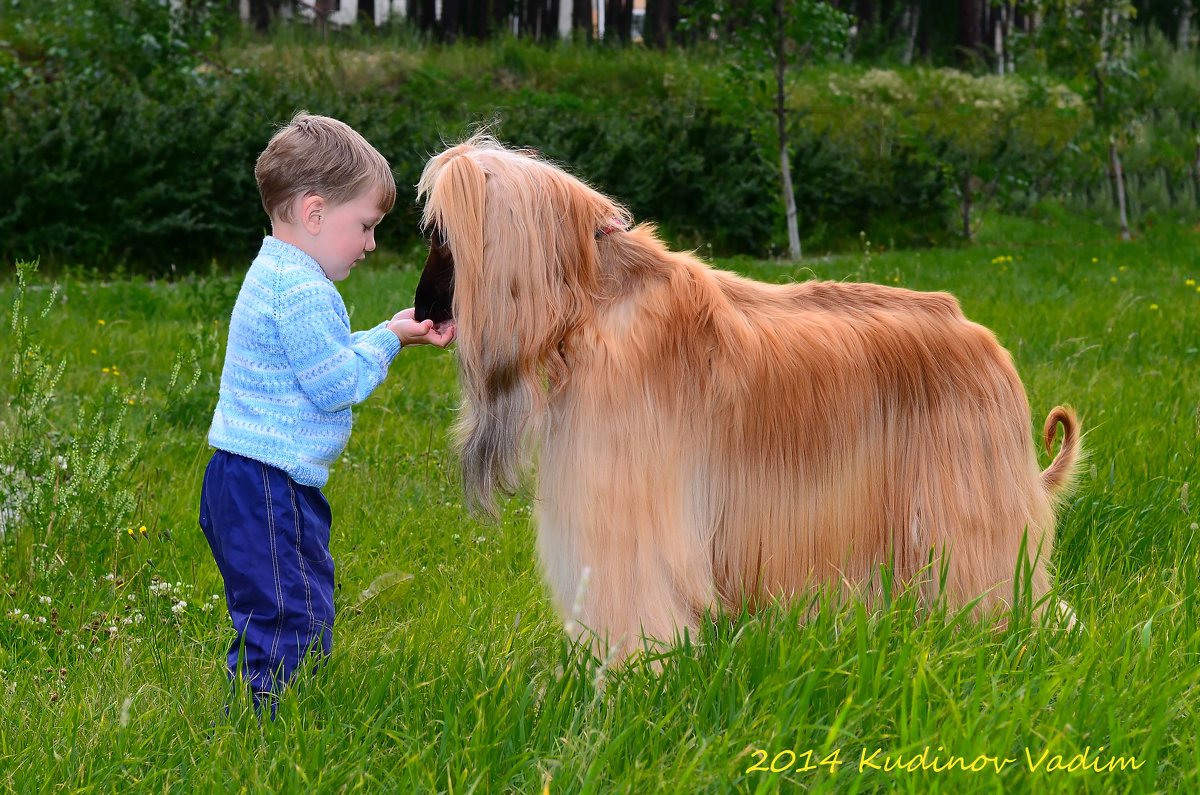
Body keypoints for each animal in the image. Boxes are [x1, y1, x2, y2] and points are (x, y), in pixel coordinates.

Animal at [417, 135, 1084, 658]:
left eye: (442, 239)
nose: (422, 310)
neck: (598, 297)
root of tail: (981, 337)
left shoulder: (627, 499)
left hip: (967, 503)